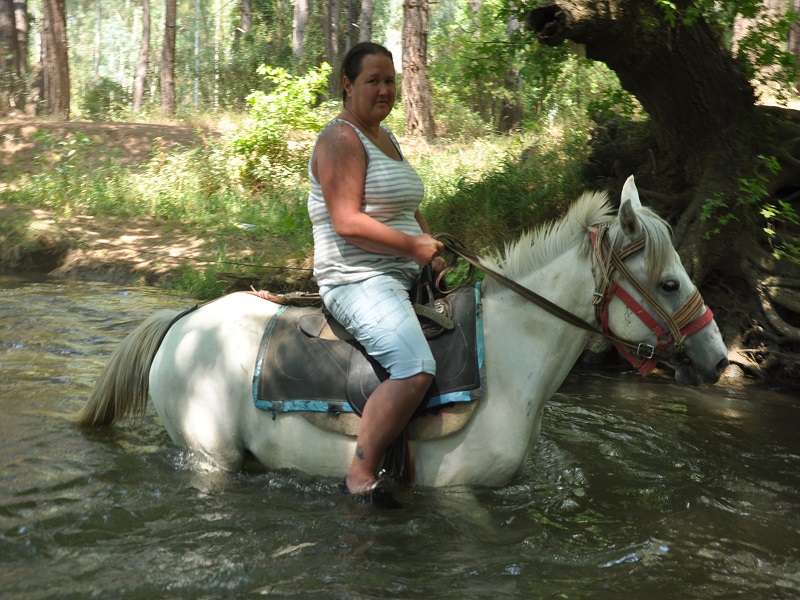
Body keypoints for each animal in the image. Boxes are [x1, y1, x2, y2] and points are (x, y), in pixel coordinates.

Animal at [77, 176, 729, 488]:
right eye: (670, 282)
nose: (719, 358)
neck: (513, 356)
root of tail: (183, 322)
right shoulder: (461, 497)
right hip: (212, 457)